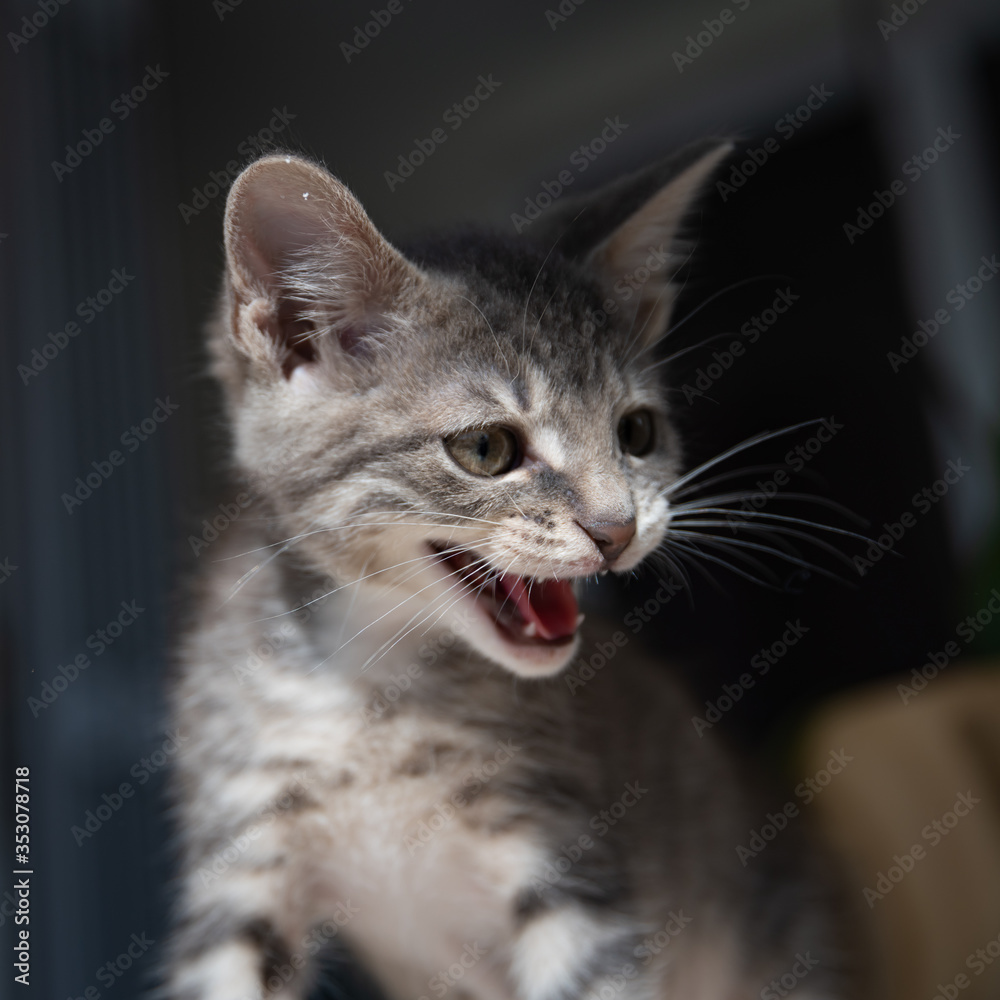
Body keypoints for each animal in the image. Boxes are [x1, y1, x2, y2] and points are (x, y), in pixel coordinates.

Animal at [168, 143, 856, 1000]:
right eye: (486, 449)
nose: (617, 528)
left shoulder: (568, 859)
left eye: (637, 432)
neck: (374, 687)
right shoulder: (242, 844)